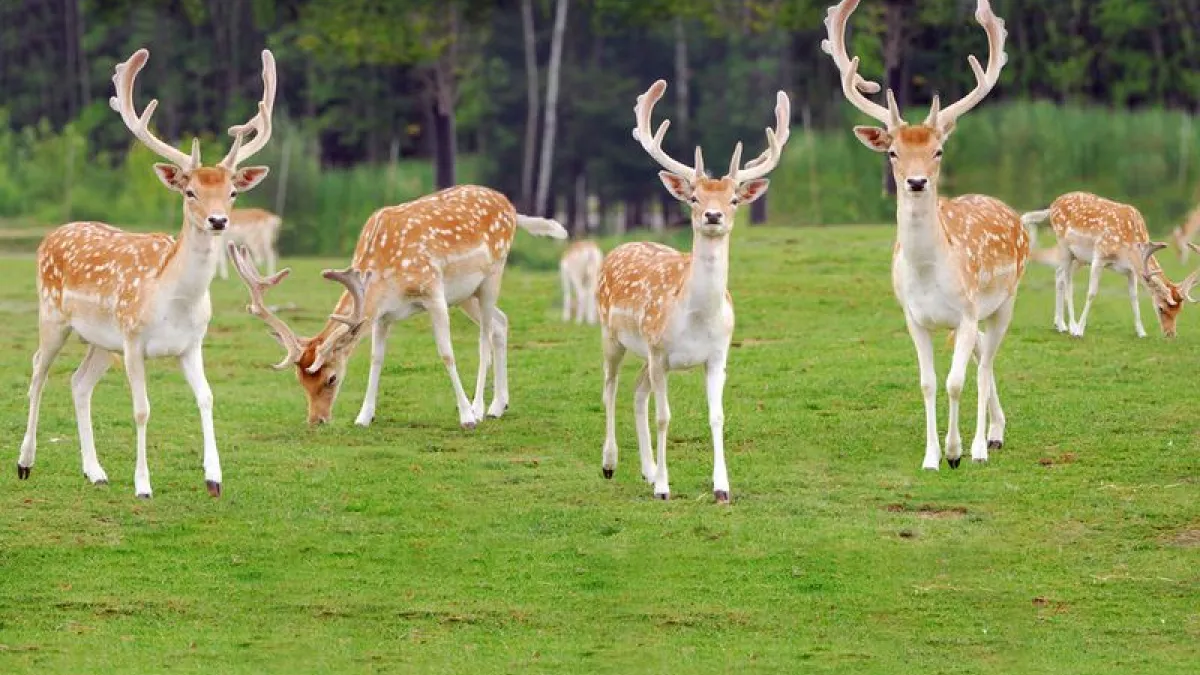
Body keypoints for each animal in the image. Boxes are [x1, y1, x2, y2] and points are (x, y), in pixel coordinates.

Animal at [16, 48, 275, 498]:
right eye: (190, 191)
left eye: (232, 191)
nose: (219, 220)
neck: (174, 300)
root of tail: (50, 236)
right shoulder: (134, 340)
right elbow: (141, 409)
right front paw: (142, 484)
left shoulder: (192, 344)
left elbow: (207, 398)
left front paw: (214, 478)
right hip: (53, 316)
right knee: (37, 372)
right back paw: (25, 463)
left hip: (101, 341)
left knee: (78, 383)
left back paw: (95, 471)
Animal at [228, 185, 567, 428]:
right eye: (300, 380)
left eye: (331, 378)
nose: (317, 420)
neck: (384, 275)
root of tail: (510, 206)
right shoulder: (382, 315)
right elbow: (376, 359)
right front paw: (364, 416)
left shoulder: (433, 292)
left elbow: (446, 353)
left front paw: (465, 417)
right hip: (465, 295)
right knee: (501, 322)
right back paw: (499, 405)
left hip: (492, 275)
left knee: (484, 336)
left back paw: (479, 408)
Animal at [596, 79, 790, 503]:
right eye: (695, 197)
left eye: (733, 199)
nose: (713, 215)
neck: (697, 319)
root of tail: (618, 247)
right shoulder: (660, 352)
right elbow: (664, 416)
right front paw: (665, 488)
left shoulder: (717, 355)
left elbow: (716, 416)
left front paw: (721, 487)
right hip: (612, 336)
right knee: (610, 389)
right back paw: (610, 464)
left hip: (645, 355)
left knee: (637, 392)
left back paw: (647, 470)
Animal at [822, 0, 1029, 471]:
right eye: (893, 152)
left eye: (938, 150)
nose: (916, 182)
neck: (930, 274)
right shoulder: (914, 318)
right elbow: (929, 383)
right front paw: (932, 457)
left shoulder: (967, 313)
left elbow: (955, 382)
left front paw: (957, 453)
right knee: (981, 358)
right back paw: (996, 431)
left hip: (1006, 299)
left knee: (985, 365)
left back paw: (985, 444)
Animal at [1020, 192, 1200, 338]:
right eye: (1161, 308)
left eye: (1180, 310)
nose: (1171, 334)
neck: (1129, 249)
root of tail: (1052, 206)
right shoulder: (1099, 257)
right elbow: (1092, 292)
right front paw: (1080, 331)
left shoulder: (1131, 270)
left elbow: (1134, 297)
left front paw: (1141, 332)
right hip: (1064, 246)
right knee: (1066, 279)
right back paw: (1071, 326)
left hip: (1079, 257)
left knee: (1059, 274)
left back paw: (1060, 324)